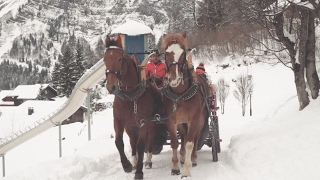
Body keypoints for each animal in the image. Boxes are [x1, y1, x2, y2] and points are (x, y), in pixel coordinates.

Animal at [104, 34, 162, 179]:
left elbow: (141, 145)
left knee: (150, 139)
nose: (111, 87)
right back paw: (135, 161)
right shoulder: (119, 121)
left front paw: (139, 171)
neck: (130, 97)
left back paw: (148, 161)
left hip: (152, 123)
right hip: (130, 126)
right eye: (104, 59)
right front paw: (127, 165)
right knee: (132, 141)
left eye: (119, 58)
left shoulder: (144, 122)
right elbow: (119, 142)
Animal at [161, 32, 209, 179]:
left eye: (183, 54)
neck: (180, 95)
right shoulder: (171, 120)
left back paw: (193, 159)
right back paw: (182, 158)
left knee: (196, 137)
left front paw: (186, 171)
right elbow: (175, 142)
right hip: (181, 122)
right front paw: (176, 167)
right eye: (166, 53)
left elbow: (189, 143)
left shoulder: (193, 120)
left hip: (200, 121)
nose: (174, 79)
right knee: (182, 135)